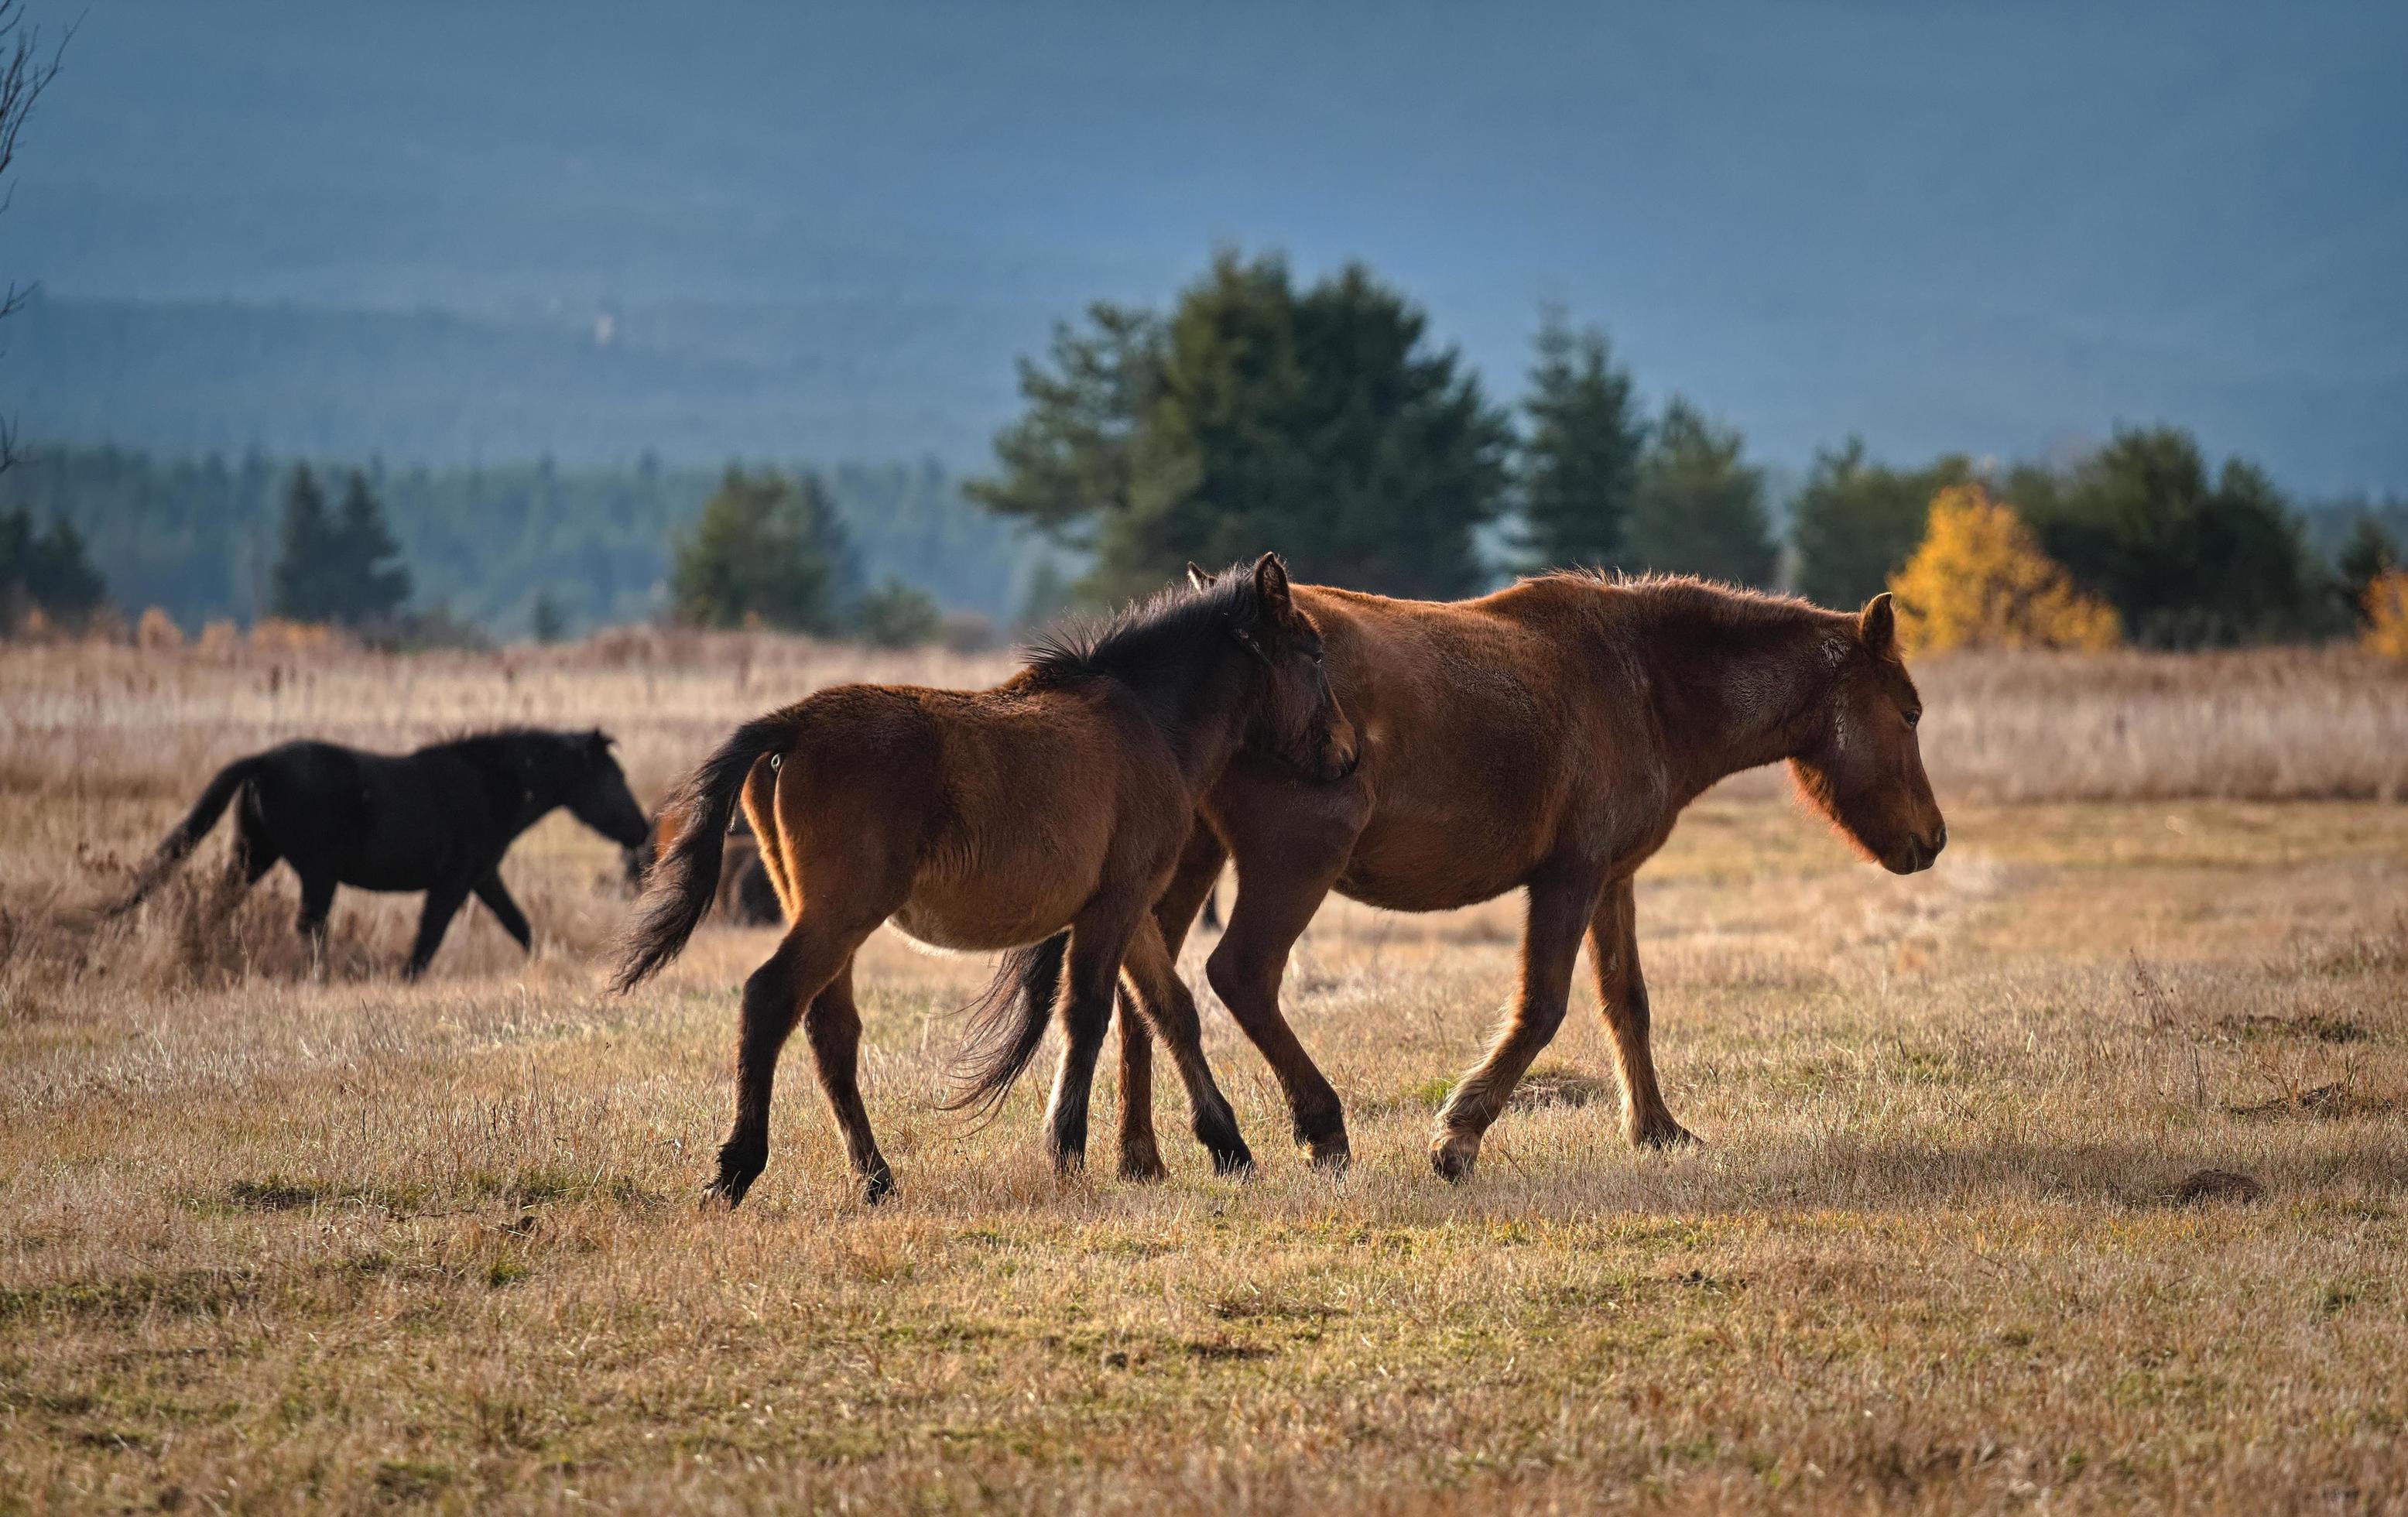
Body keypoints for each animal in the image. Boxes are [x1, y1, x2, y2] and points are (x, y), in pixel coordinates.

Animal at [113, 731, 649, 982]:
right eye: (615, 777)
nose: (643, 830)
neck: (488, 784)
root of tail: (261, 762)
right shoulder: (455, 878)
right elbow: (431, 934)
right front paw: (406, 978)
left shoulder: (483, 875)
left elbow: (518, 925)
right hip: (317, 870)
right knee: (310, 925)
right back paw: (320, 976)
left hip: (255, 854)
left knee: (224, 902)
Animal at [611, 558, 1358, 1214]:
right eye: (1314, 654)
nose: (1347, 755)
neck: (1148, 723)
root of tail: (794, 724)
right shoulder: (1113, 906)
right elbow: (1086, 1013)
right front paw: (1066, 1149)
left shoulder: (1131, 904)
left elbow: (1171, 1009)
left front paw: (1229, 1147)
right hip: (840, 912)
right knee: (769, 999)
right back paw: (738, 1167)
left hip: (821, 914)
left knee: (830, 1030)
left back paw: (875, 1178)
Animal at [987, 575, 1945, 1184]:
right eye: (1909, 711)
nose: (1931, 839)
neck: (1641, 681)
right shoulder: (1569, 878)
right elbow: (1544, 1007)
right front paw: (1459, 1135)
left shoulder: (1612, 880)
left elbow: (1626, 1001)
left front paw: (1657, 1128)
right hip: (1293, 864)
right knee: (1239, 975)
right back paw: (1317, 1125)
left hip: (1186, 860)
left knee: (1148, 986)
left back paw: (1144, 1154)